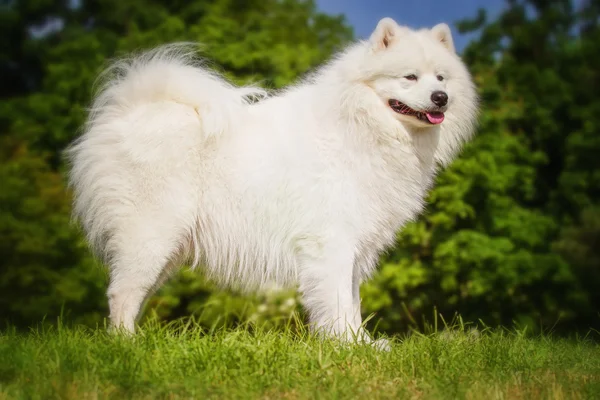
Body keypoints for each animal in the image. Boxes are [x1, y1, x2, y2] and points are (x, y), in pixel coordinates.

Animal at [65, 17, 478, 346]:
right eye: (409, 77)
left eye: (441, 78)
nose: (440, 97)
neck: (360, 124)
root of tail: (129, 111)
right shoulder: (331, 242)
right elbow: (338, 301)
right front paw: (348, 346)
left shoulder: (356, 247)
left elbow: (353, 302)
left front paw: (362, 345)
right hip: (151, 233)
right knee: (121, 293)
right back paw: (126, 345)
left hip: (168, 246)